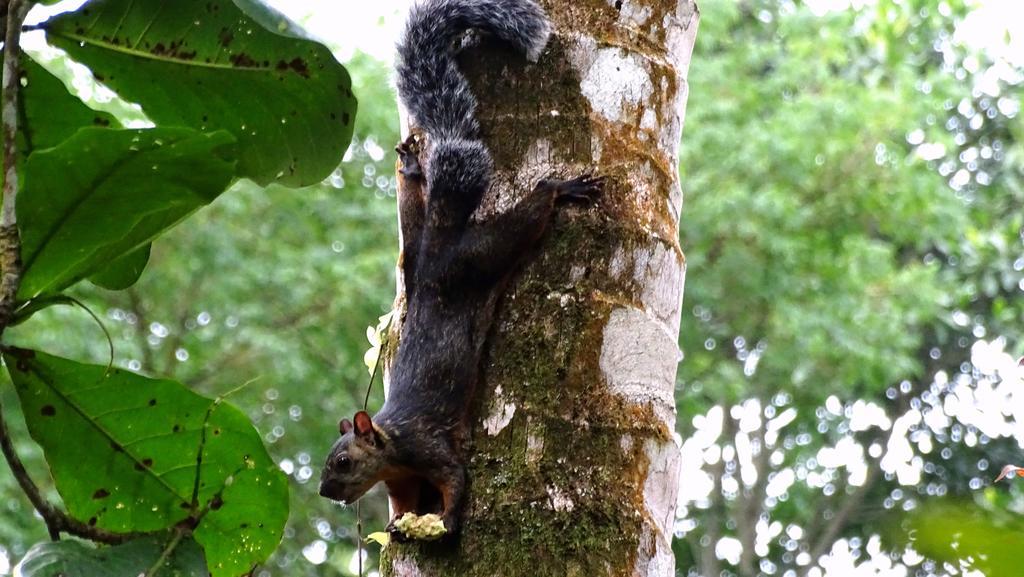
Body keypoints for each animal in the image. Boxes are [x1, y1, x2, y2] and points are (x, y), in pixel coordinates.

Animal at [319, 0, 602, 541]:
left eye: (342, 462)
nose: (325, 493)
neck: (391, 448)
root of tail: (438, 250)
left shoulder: (426, 448)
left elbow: (454, 478)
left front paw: (445, 520)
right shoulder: (401, 477)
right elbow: (405, 499)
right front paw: (403, 523)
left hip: (479, 256)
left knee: (526, 216)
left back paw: (559, 188)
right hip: (413, 252)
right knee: (415, 209)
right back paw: (414, 168)